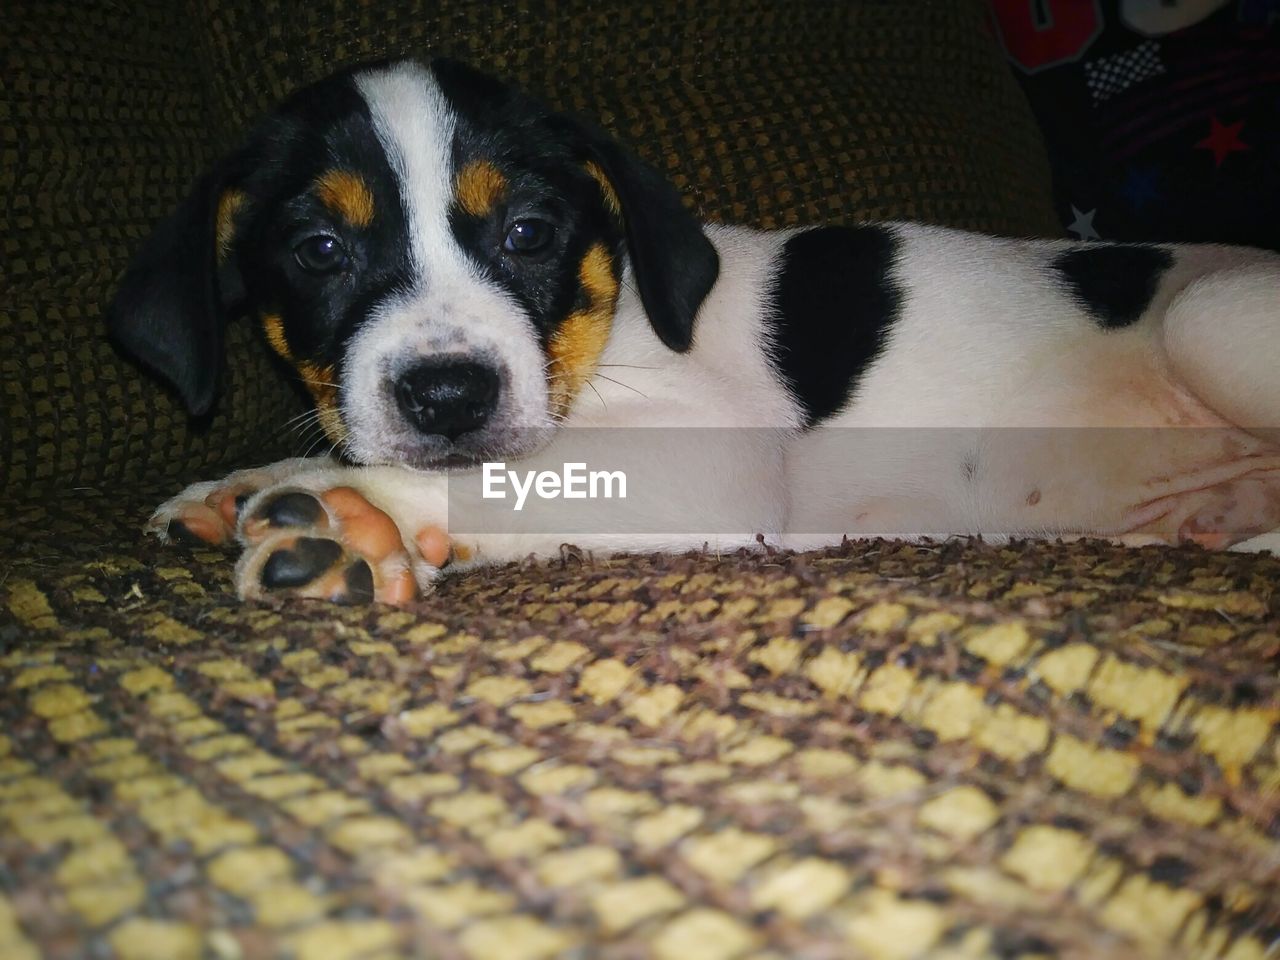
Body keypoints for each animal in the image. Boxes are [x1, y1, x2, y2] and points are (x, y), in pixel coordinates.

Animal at [107, 56, 1280, 604]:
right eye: (318, 251)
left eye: (530, 233)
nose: (447, 398)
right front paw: (233, 488)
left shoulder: (714, 458)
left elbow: (513, 476)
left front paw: (358, 516)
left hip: (1212, 317)